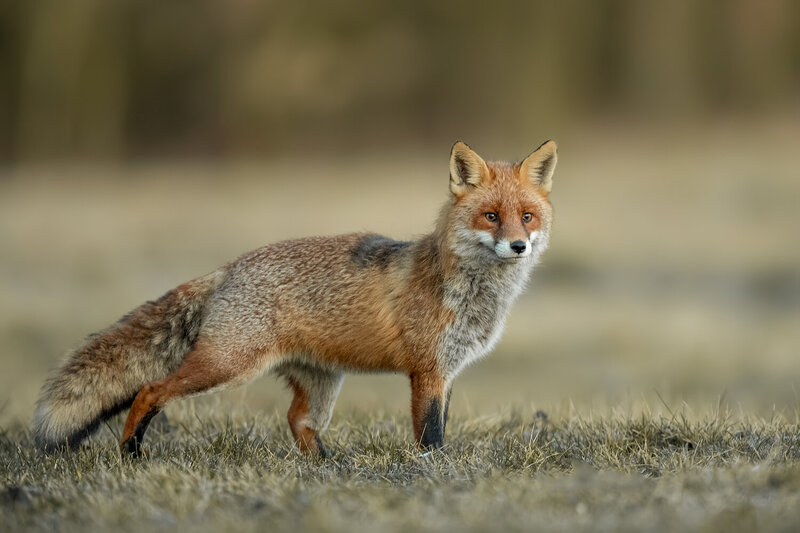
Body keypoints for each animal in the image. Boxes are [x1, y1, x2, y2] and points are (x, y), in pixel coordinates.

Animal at [33, 140, 557, 457]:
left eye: (527, 217)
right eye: (491, 216)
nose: (519, 246)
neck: (469, 293)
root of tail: (230, 267)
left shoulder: (446, 372)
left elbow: (440, 428)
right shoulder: (427, 371)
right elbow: (430, 436)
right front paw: (432, 474)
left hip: (321, 382)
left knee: (297, 421)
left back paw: (329, 468)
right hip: (226, 366)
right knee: (149, 391)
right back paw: (131, 453)